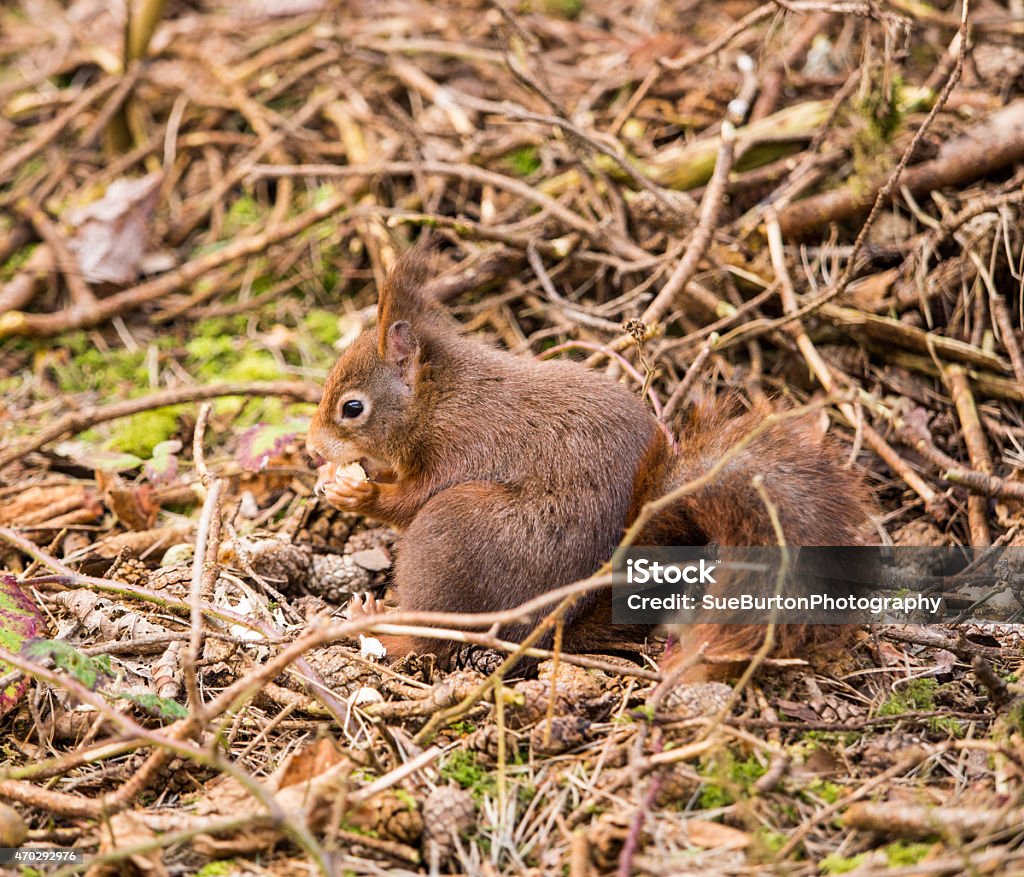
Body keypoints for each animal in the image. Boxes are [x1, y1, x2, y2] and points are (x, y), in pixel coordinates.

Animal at [306, 248, 871, 676]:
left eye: (352, 408)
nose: (311, 448)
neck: (437, 399)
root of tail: (553, 623)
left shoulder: (462, 448)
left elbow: (409, 501)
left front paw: (358, 491)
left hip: (453, 533)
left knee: (436, 639)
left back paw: (367, 627)